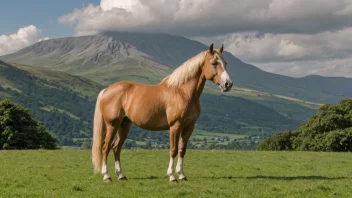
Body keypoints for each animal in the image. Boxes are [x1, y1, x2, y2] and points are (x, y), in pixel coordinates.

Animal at [92, 43, 232, 183]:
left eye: (225, 63)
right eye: (214, 63)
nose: (228, 84)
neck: (182, 92)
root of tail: (106, 90)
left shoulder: (189, 127)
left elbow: (182, 150)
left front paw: (181, 175)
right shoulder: (175, 126)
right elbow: (173, 150)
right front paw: (172, 176)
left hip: (124, 125)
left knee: (116, 148)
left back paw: (121, 175)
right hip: (112, 125)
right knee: (105, 147)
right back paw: (107, 176)